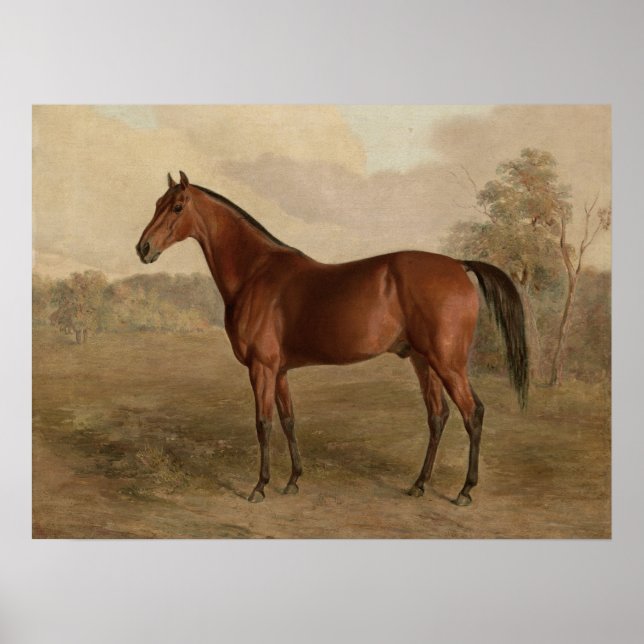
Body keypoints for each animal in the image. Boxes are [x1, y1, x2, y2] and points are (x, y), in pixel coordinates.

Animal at [136, 171, 528, 505]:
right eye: (156, 203)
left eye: (177, 206)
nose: (143, 248)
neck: (255, 273)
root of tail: (458, 265)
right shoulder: (279, 371)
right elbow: (288, 420)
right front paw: (293, 481)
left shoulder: (261, 368)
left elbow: (263, 424)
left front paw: (260, 487)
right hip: (424, 361)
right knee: (438, 415)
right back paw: (418, 485)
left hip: (448, 362)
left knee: (472, 413)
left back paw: (465, 491)